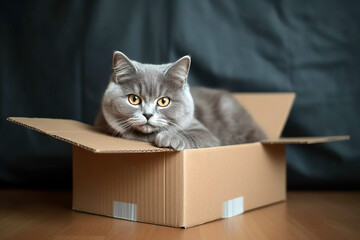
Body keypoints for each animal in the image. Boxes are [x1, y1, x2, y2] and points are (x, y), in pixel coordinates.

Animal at [94, 51, 266, 150]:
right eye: (134, 99)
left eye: (163, 101)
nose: (147, 115)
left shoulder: (208, 136)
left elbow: (197, 135)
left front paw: (170, 138)